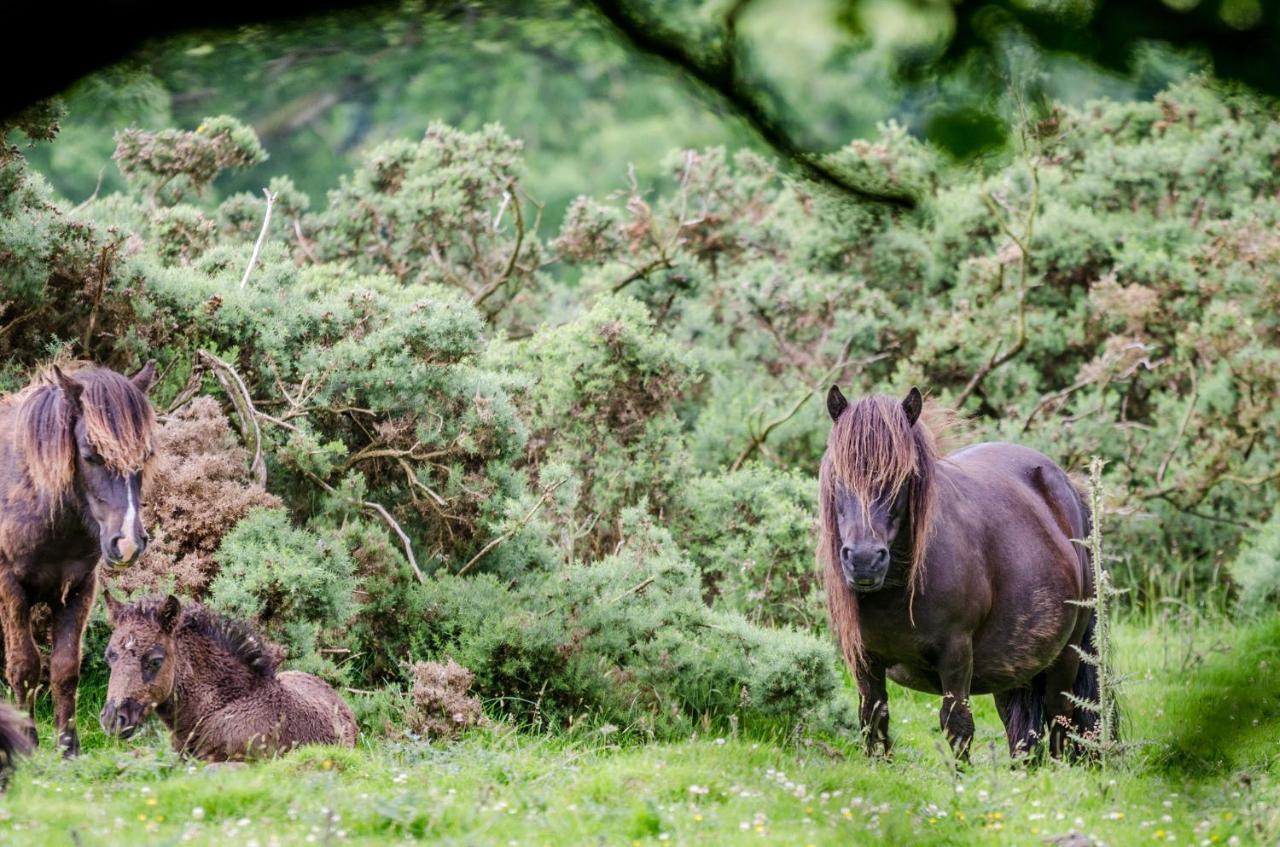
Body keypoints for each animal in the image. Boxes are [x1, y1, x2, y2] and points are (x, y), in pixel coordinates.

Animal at [819, 383, 1100, 762]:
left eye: (904, 477)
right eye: (838, 474)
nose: (863, 560)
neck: (899, 591)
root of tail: (1067, 486)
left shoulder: (955, 655)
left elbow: (957, 726)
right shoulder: (864, 659)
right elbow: (873, 720)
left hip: (1065, 657)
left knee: (1060, 718)